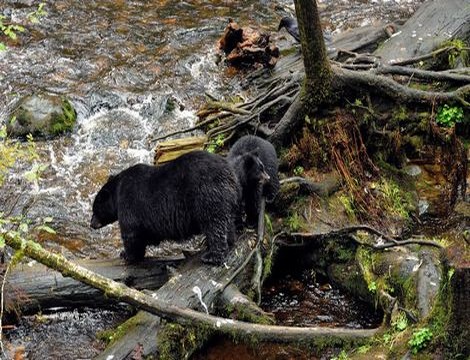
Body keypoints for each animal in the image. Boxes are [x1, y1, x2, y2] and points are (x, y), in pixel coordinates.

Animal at [90, 150, 241, 266]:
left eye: (94, 209)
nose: (91, 224)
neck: (117, 191)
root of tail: (229, 172)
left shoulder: (129, 201)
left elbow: (131, 233)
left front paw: (127, 255)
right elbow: (147, 234)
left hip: (206, 193)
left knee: (213, 223)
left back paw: (212, 256)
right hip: (225, 198)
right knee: (226, 221)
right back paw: (229, 241)